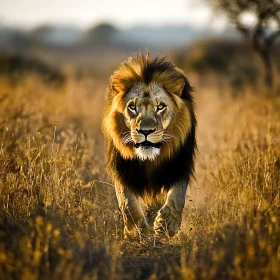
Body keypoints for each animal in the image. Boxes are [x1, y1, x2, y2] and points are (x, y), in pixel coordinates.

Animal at [101, 52, 196, 238]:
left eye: (160, 107)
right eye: (132, 107)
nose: (146, 131)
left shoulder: (180, 163)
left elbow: (178, 195)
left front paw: (167, 225)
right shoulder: (122, 168)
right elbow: (126, 200)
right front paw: (137, 230)